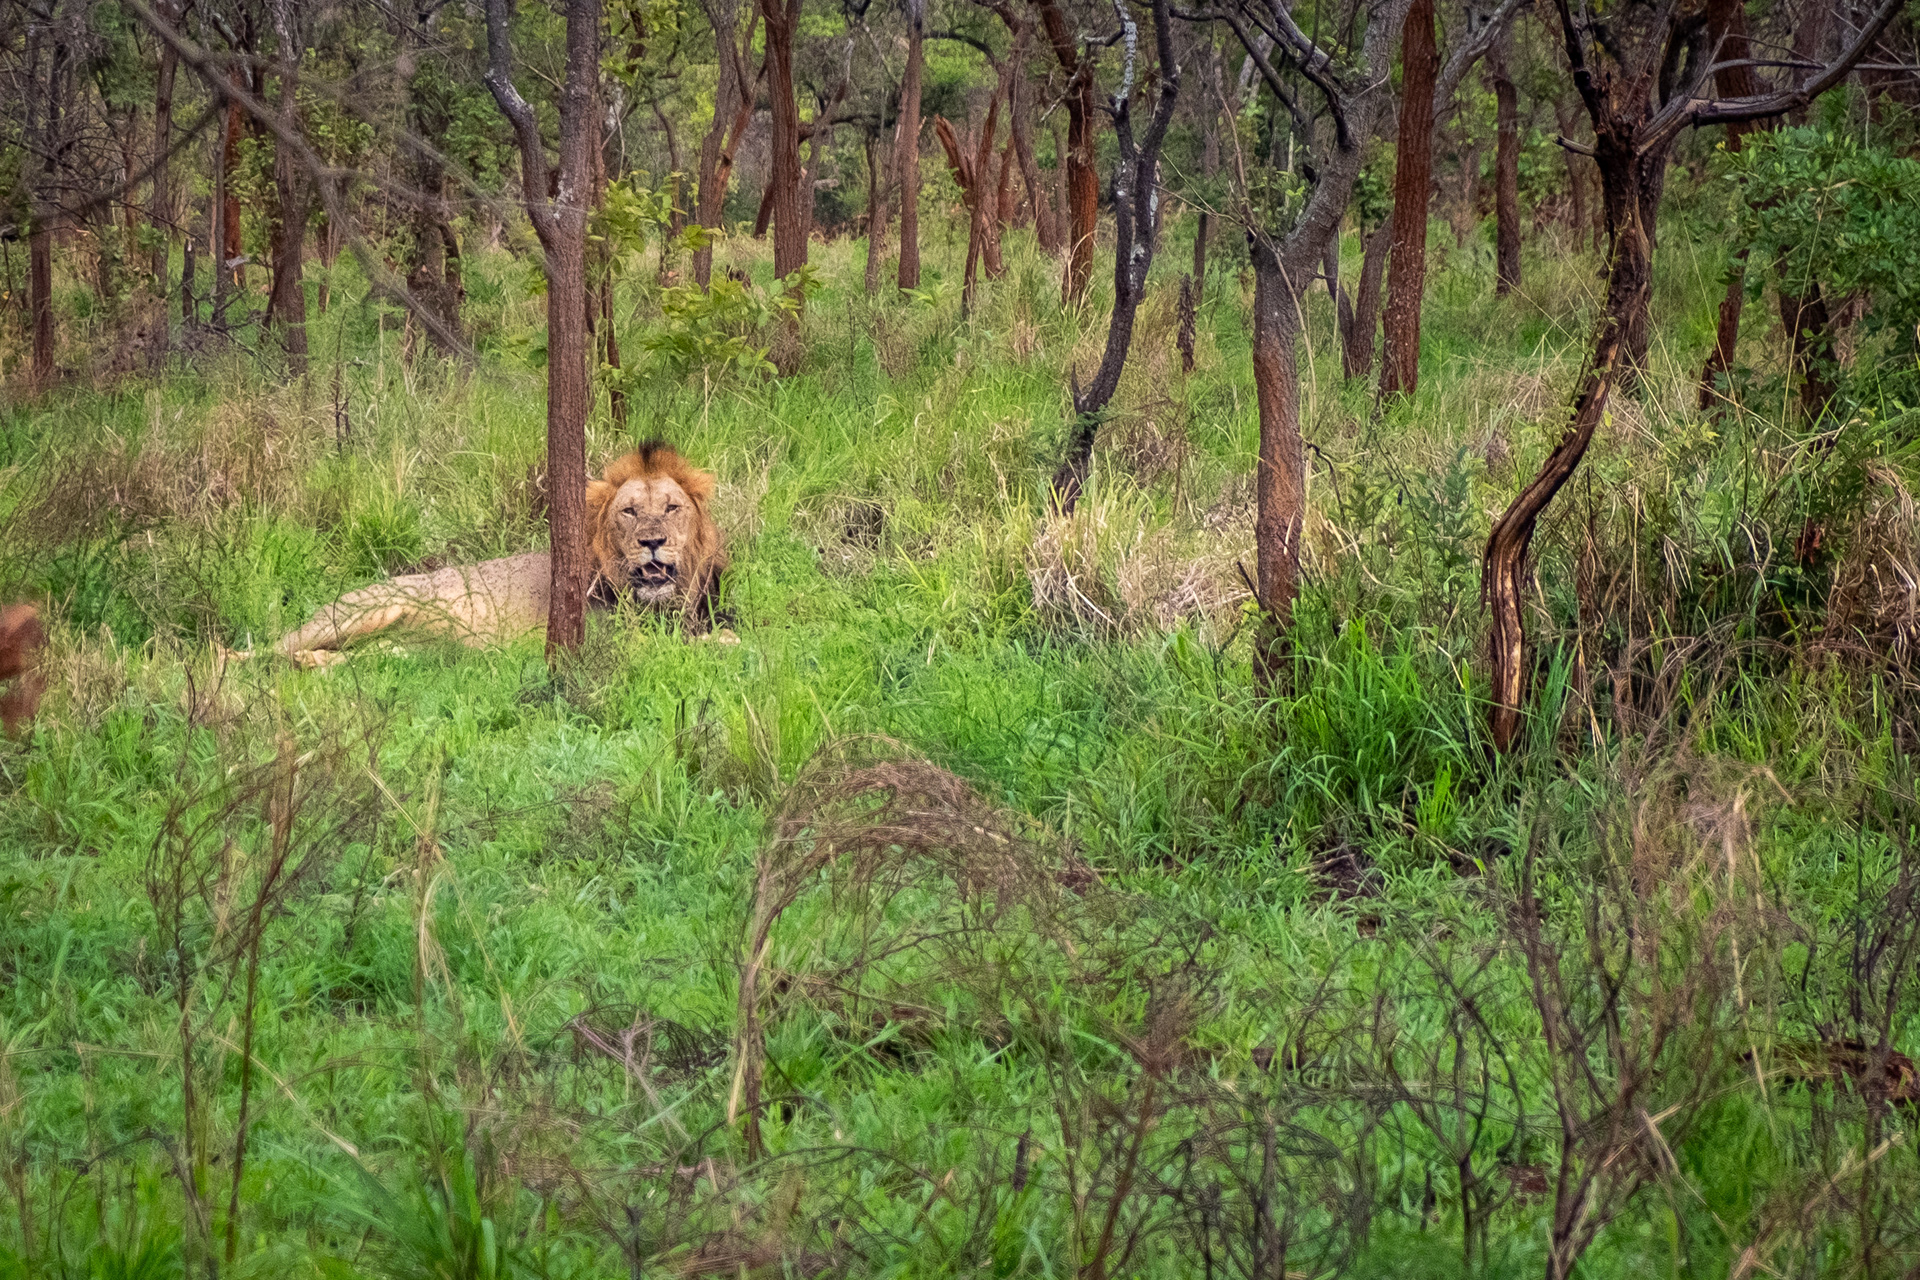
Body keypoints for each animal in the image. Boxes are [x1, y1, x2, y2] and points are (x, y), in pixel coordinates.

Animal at [277, 444, 727, 662]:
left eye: (671, 508)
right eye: (629, 512)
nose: (652, 542)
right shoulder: (600, 639)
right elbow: (693, 644)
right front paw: (719, 644)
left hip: (407, 649)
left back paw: (314, 664)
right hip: (369, 612)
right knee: (272, 651)